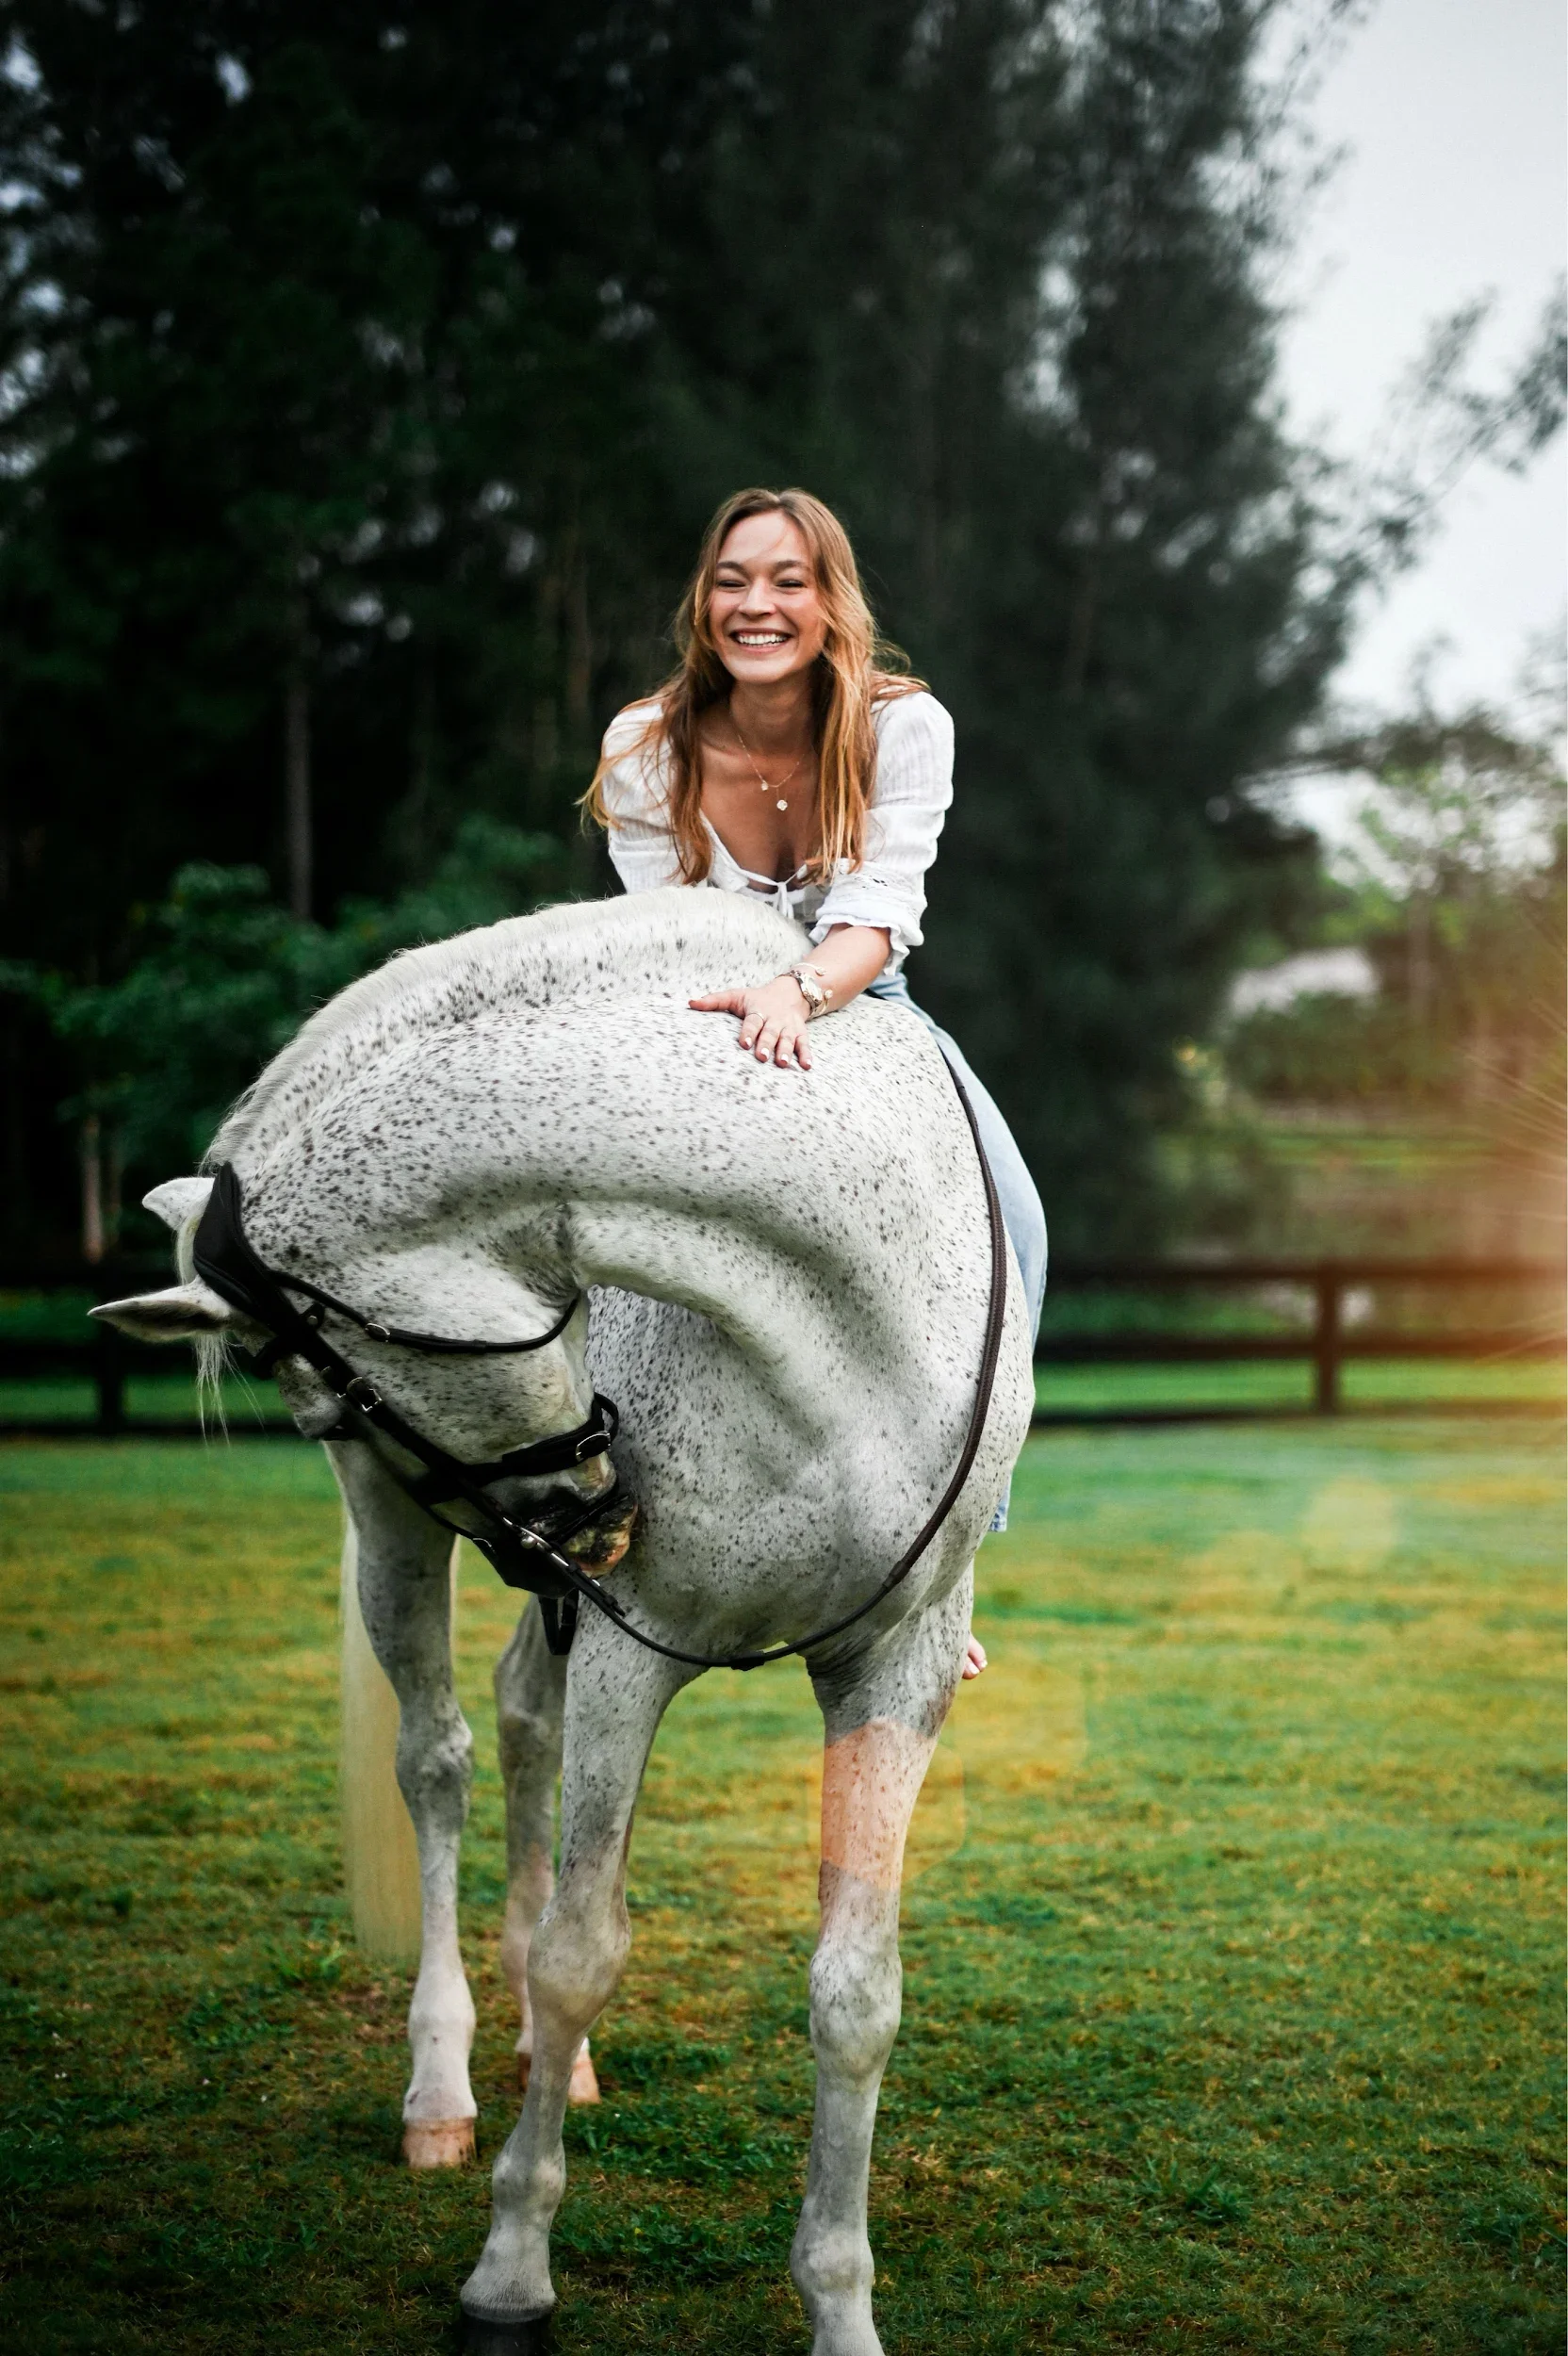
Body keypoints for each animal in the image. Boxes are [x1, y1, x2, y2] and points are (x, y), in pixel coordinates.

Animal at [95, 890, 1034, 2356]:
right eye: (316, 1397)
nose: (594, 1512)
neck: (839, 1311)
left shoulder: (898, 1668)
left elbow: (856, 1995)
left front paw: (840, 2306)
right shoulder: (631, 1652)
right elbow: (581, 1954)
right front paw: (511, 2274)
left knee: (520, 1718)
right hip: (409, 1544)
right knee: (440, 1756)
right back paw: (440, 2090)